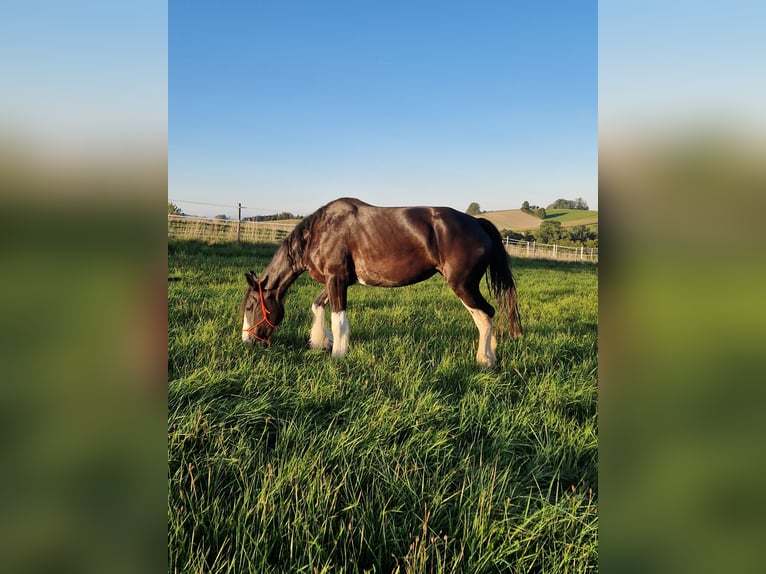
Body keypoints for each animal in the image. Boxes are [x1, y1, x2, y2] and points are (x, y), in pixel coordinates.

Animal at [243, 198, 524, 368]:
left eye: (249, 307)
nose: (247, 341)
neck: (320, 232)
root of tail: (478, 223)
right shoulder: (338, 281)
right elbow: (316, 306)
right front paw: (321, 342)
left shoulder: (336, 280)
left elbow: (339, 321)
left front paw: (338, 356)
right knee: (485, 316)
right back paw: (492, 353)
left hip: (463, 285)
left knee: (485, 315)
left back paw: (485, 359)